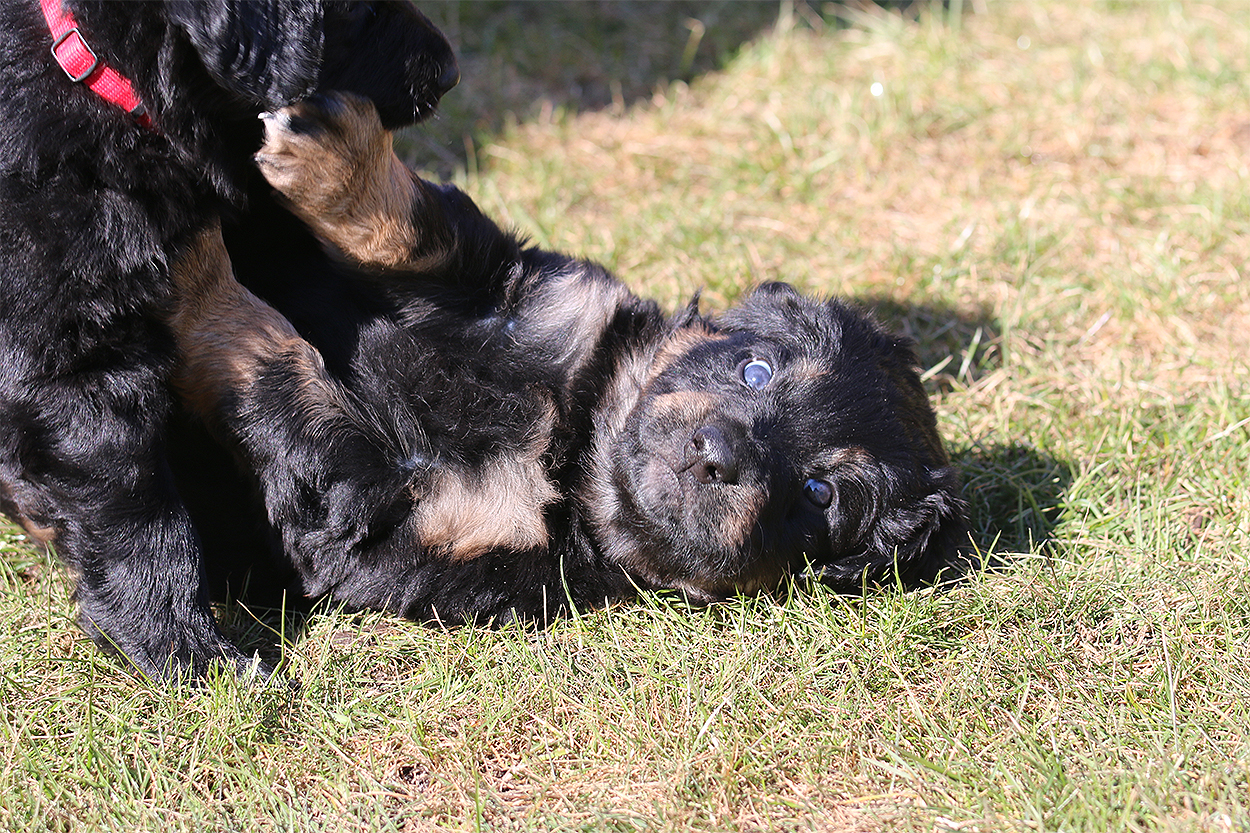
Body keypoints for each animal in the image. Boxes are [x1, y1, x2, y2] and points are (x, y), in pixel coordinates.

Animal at [164, 92, 969, 636]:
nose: (720, 454)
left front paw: (189, 261)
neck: (574, 442)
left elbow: (277, 366)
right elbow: (412, 228)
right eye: (757, 371)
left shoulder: (385, 518)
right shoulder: (522, 292)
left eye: (820, 493)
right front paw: (322, 153)